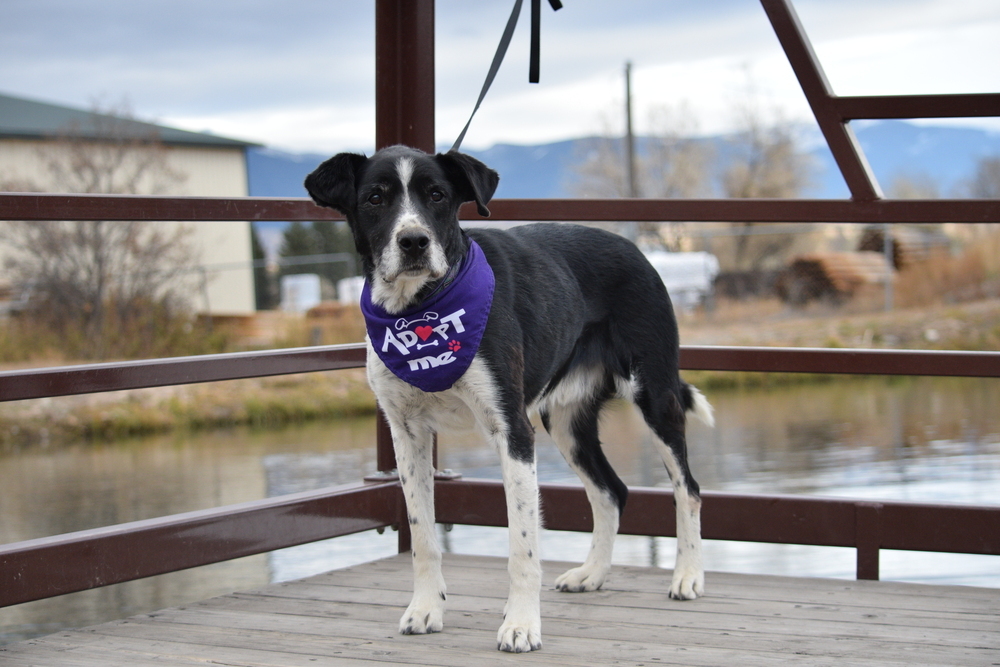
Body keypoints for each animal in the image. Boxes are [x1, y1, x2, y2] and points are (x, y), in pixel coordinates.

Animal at [304, 145, 712, 652]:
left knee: (688, 489)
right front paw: (426, 609)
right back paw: (592, 574)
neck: (421, 309)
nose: (414, 241)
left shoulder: (512, 430)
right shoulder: (408, 436)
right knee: (611, 492)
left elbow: (522, 545)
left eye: (437, 195)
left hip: (654, 396)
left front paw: (521, 624)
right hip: (566, 422)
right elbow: (422, 536)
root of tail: (634, 248)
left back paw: (688, 576)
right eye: (375, 198)